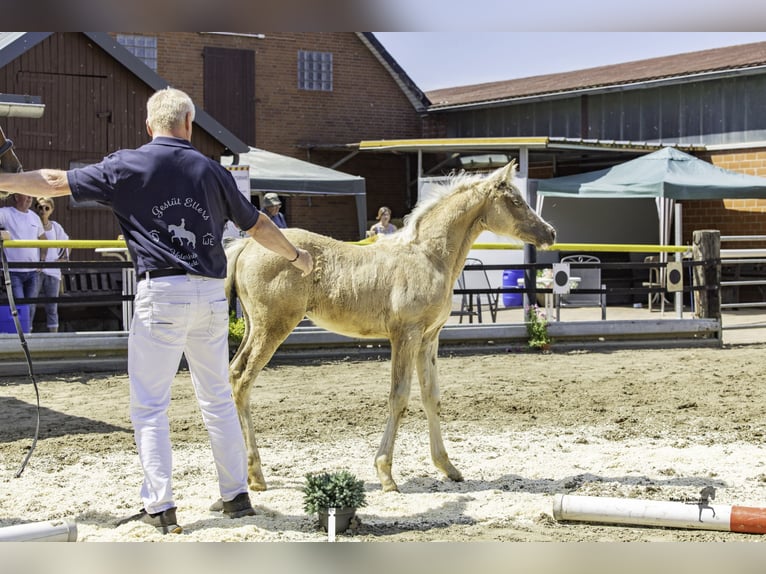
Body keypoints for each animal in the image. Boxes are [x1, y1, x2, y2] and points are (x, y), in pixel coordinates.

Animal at [225, 161, 556, 492]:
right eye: (515, 201)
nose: (550, 232)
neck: (429, 256)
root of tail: (246, 244)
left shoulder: (429, 338)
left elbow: (431, 396)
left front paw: (447, 466)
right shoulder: (406, 335)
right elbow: (399, 397)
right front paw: (386, 474)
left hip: (255, 326)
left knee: (233, 371)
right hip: (274, 326)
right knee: (243, 380)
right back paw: (255, 475)